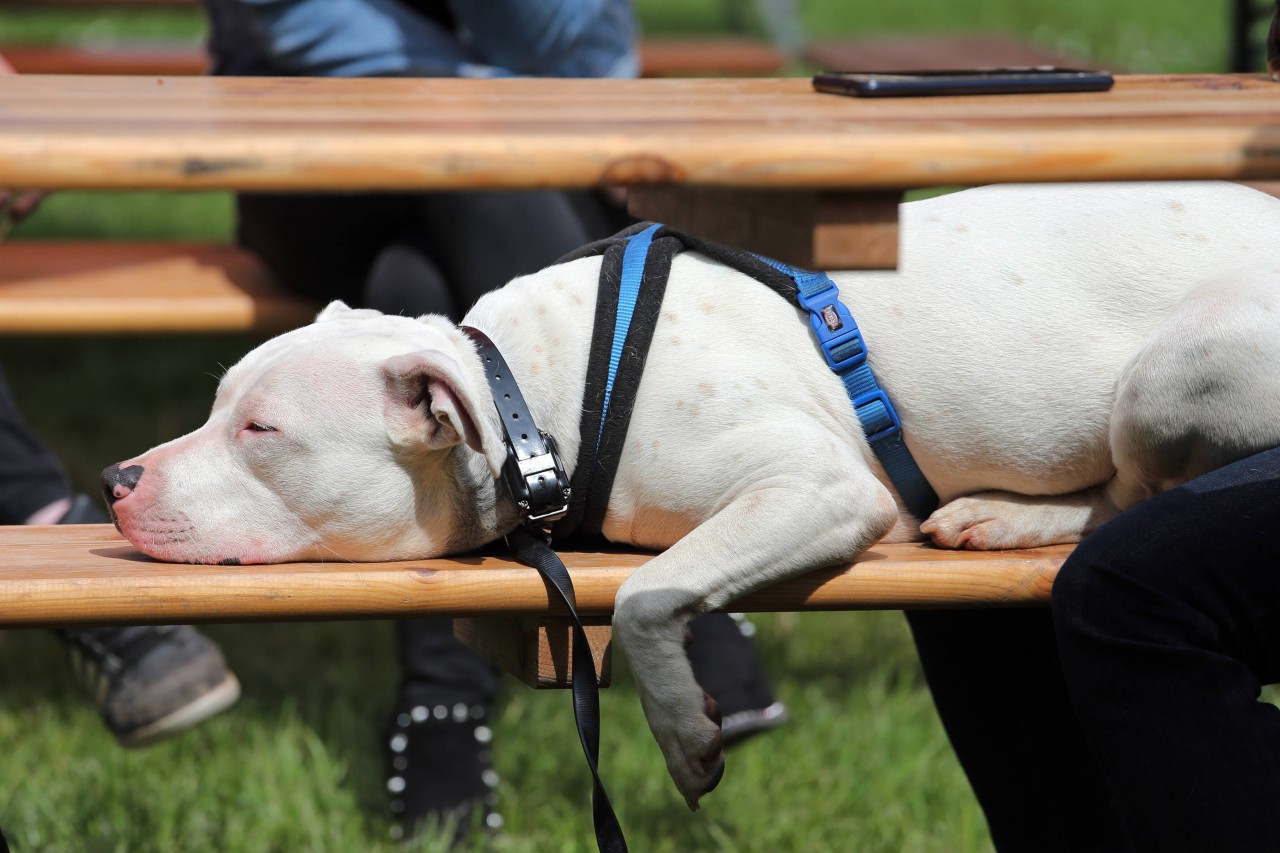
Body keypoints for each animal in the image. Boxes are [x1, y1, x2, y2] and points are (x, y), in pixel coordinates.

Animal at [104, 179, 1280, 804]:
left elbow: (646, 592)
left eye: (261, 431)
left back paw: (1012, 513)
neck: (535, 397)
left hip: (1172, 370)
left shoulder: (815, 485)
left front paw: (681, 729)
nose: (117, 478)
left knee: (1128, 488)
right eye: (218, 402)